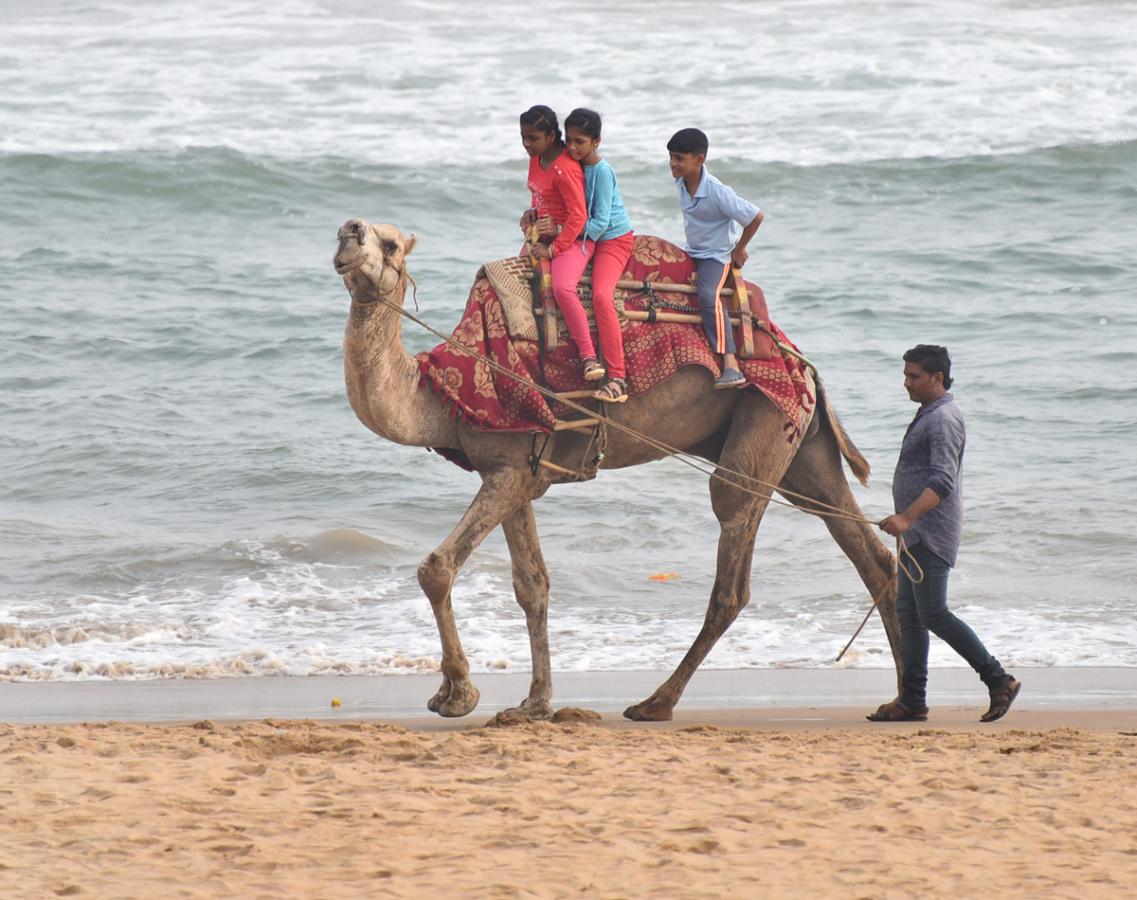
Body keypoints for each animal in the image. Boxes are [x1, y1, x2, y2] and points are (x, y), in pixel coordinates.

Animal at [332, 219, 900, 722]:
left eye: (390, 243)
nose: (348, 231)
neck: (443, 392)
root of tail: (798, 358)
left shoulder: (509, 470)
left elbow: (437, 567)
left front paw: (457, 694)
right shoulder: (514, 470)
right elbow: (531, 583)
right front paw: (532, 704)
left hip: (763, 422)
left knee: (732, 558)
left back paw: (655, 703)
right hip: (801, 441)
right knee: (864, 548)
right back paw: (899, 701)